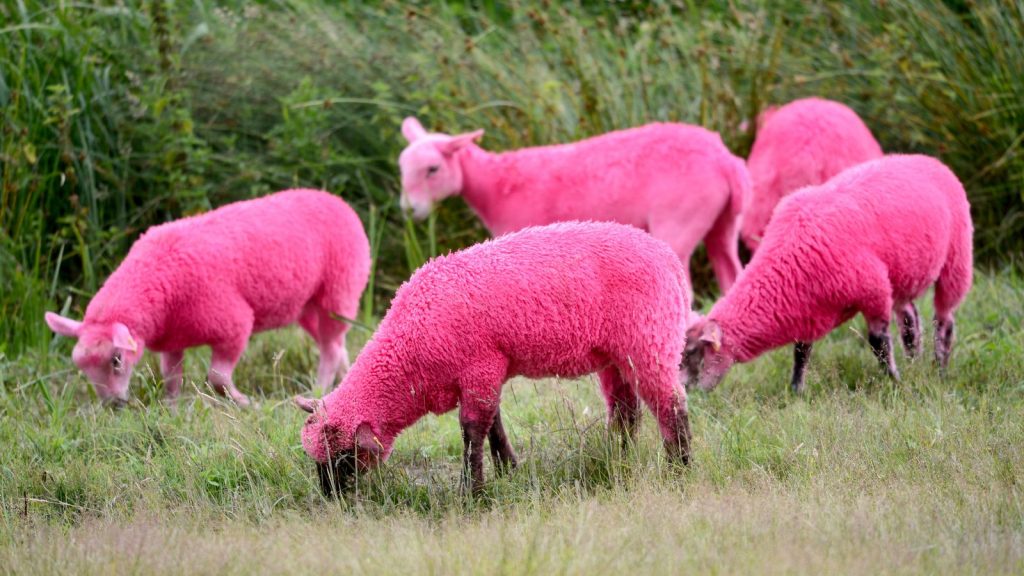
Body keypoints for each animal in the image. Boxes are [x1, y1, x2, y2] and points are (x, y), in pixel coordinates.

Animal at [45, 189, 371, 406]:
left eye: (116, 359)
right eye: (82, 367)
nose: (113, 404)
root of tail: (336, 199)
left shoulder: (233, 324)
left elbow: (217, 379)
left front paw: (246, 404)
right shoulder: (173, 338)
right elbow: (171, 378)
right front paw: (172, 408)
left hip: (338, 292)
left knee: (330, 348)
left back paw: (318, 389)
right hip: (306, 305)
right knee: (335, 342)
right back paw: (343, 378)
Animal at [294, 221, 692, 495]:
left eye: (344, 458)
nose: (332, 499)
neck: (408, 349)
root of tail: (670, 260)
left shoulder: (479, 366)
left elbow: (472, 431)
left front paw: (474, 491)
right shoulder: (485, 371)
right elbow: (494, 424)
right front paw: (507, 469)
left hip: (650, 339)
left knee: (671, 404)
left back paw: (680, 470)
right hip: (615, 355)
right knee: (625, 410)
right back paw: (618, 459)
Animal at [398, 117, 751, 294]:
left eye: (432, 169)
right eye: (402, 168)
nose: (409, 210)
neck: (496, 185)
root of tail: (725, 161)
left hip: (680, 216)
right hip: (725, 219)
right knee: (731, 274)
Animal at [684, 155, 973, 393]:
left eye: (693, 352)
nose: (686, 392)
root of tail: (931, 161)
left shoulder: (874, 292)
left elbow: (878, 343)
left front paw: (894, 381)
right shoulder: (808, 309)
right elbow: (801, 350)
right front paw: (796, 389)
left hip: (956, 260)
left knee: (944, 320)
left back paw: (939, 369)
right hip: (901, 277)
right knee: (910, 319)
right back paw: (915, 362)